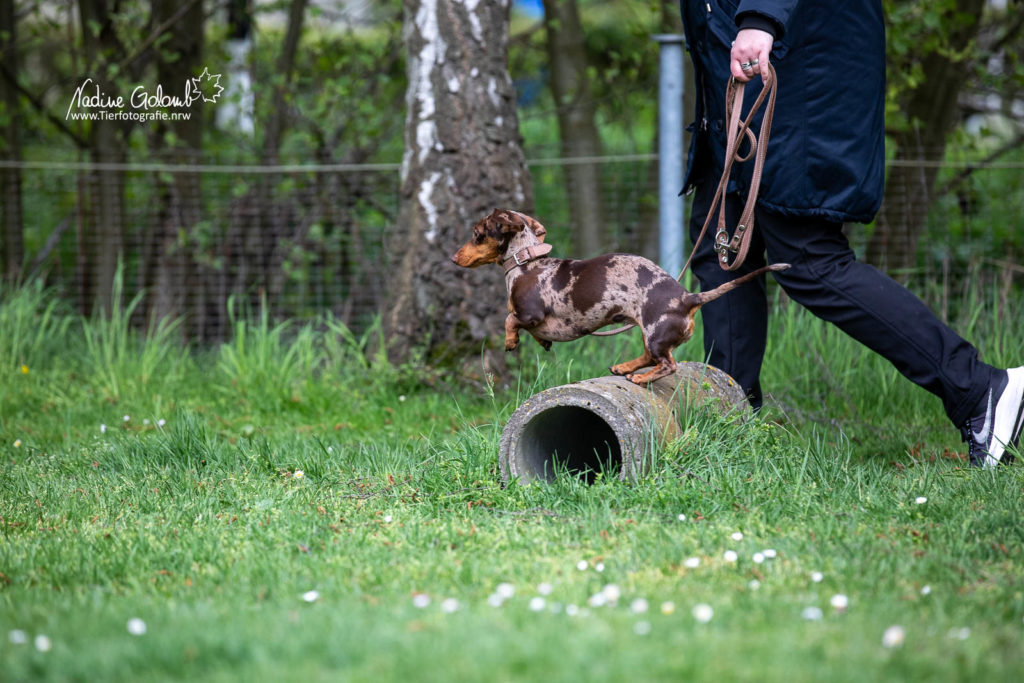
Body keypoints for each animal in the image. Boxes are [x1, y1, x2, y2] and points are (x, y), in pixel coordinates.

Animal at [450, 208, 790, 385]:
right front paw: (542, 342)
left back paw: (640, 378)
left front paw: (511, 341)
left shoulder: (530, 313)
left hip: (655, 332)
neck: (526, 263)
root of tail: (689, 298)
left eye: (477, 234)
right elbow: (528, 328)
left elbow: (510, 319)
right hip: (649, 333)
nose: (453, 257)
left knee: (667, 364)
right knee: (651, 357)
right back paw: (625, 369)